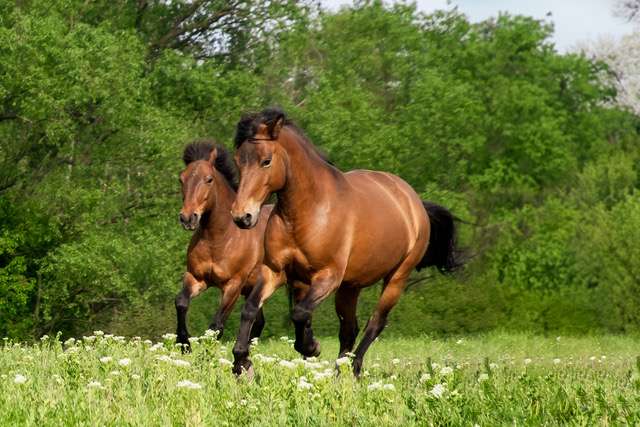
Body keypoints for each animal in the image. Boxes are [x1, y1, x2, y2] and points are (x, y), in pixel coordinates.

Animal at [175, 140, 272, 348]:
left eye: (209, 179)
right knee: (258, 322)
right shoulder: (196, 277)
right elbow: (181, 302)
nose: (187, 218)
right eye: (182, 179)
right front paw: (184, 343)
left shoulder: (233, 285)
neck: (220, 239)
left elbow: (216, 326)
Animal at [230, 108, 460, 376]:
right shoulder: (275, 272)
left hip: (396, 278)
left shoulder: (328, 276)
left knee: (375, 323)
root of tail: (414, 202)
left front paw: (312, 347)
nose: (242, 216)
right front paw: (241, 360)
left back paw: (354, 367)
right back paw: (339, 373)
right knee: (349, 329)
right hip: (351, 286)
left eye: (266, 161)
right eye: (238, 161)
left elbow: (300, 312)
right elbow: (251, 309)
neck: (309, 210)